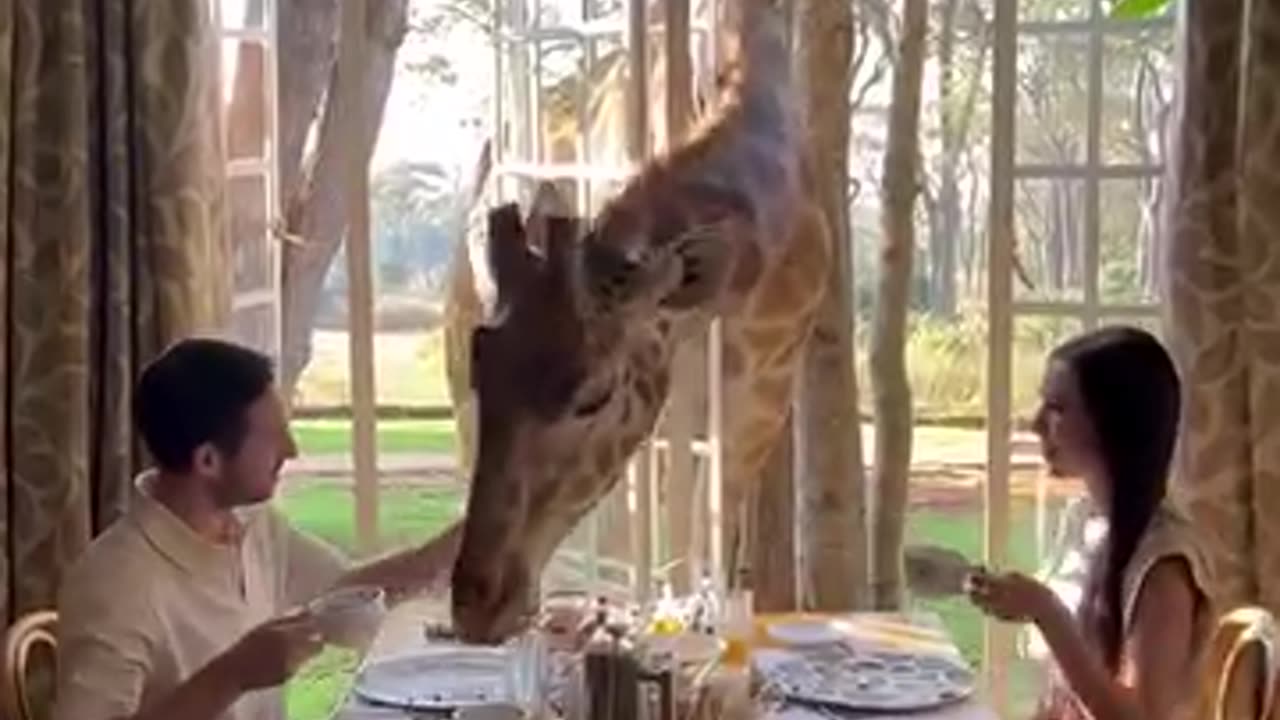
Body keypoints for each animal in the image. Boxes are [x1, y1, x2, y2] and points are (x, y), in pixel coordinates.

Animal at [450, 0, 832, 643]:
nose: (475, 603)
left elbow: (710, 523)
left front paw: (703, 618)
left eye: (594, 394)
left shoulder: (766, 381)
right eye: (487, 365)